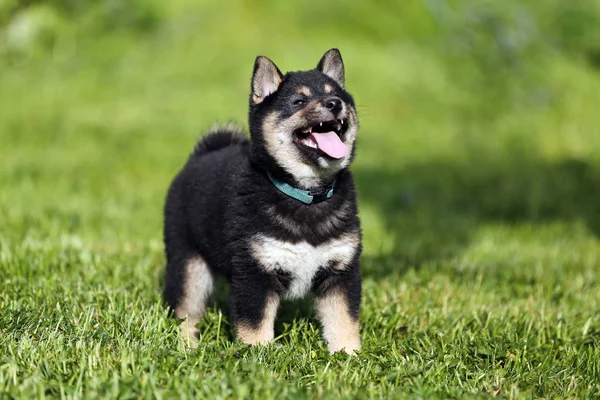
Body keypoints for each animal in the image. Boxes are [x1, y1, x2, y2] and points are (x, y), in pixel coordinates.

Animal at [163, 49, 360, 354]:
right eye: (299, 101)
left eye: (336, 94)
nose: (334, 103)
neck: (306, 196)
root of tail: (199, 157)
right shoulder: (254, 271)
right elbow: (255, 325)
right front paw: (258, 356)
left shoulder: (341, 271)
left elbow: (344, 321)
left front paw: (350, 356)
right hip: (189, 263)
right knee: (186, 310)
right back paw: (187, 347)